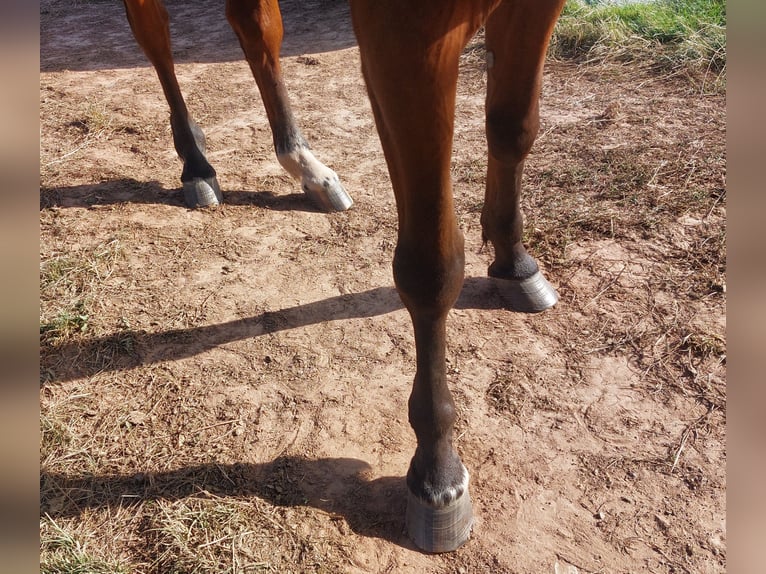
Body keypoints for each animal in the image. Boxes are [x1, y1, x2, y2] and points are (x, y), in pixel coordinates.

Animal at [124, 0, 564, 552]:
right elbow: (431, 266)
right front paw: (437, 472)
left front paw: (513, 261)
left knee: (255, 28)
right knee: (154, 33)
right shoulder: (407, 33)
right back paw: (196, 164)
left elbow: (513, 127)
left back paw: (307, 168)